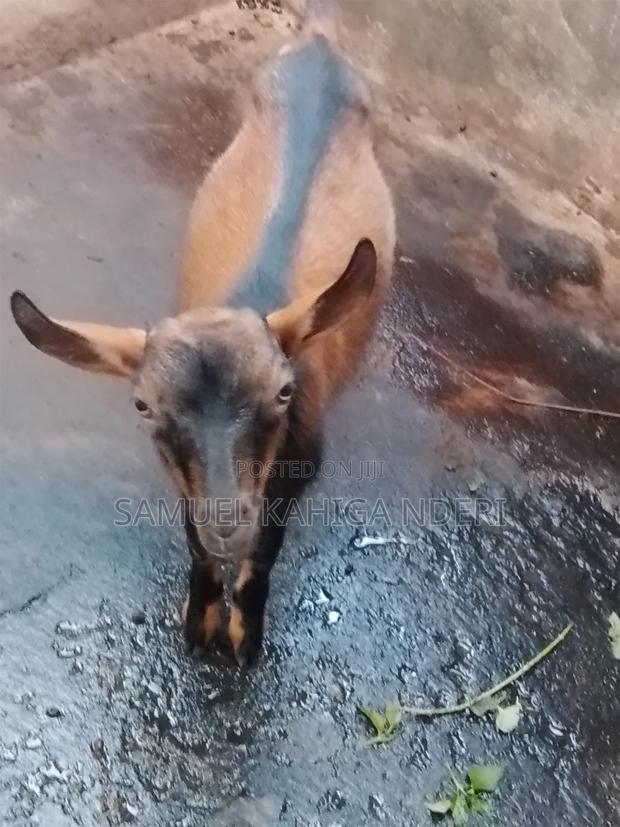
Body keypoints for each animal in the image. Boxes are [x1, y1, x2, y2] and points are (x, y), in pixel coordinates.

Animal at [10, 0, 395, 665]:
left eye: (284, 392)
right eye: (142, 405)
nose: (227, 520)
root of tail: (319, 42)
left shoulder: (292, 475)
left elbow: (264, 553)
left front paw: (243, 637)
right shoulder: (182, 475)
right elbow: (196, 543)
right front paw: (199, 622)